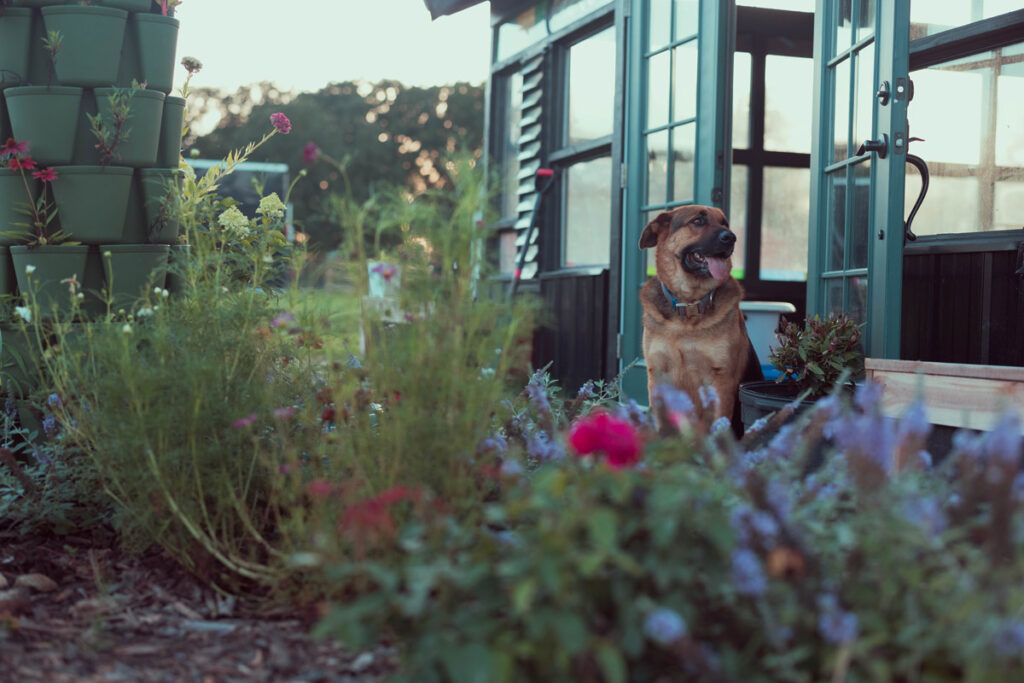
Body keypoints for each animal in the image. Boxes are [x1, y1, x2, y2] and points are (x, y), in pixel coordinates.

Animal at [638, 202, 761, 432]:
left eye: (724, 223)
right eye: (697, 221)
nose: (731, 237)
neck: (689, 306)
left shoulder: (721, 380)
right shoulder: (657, 376)